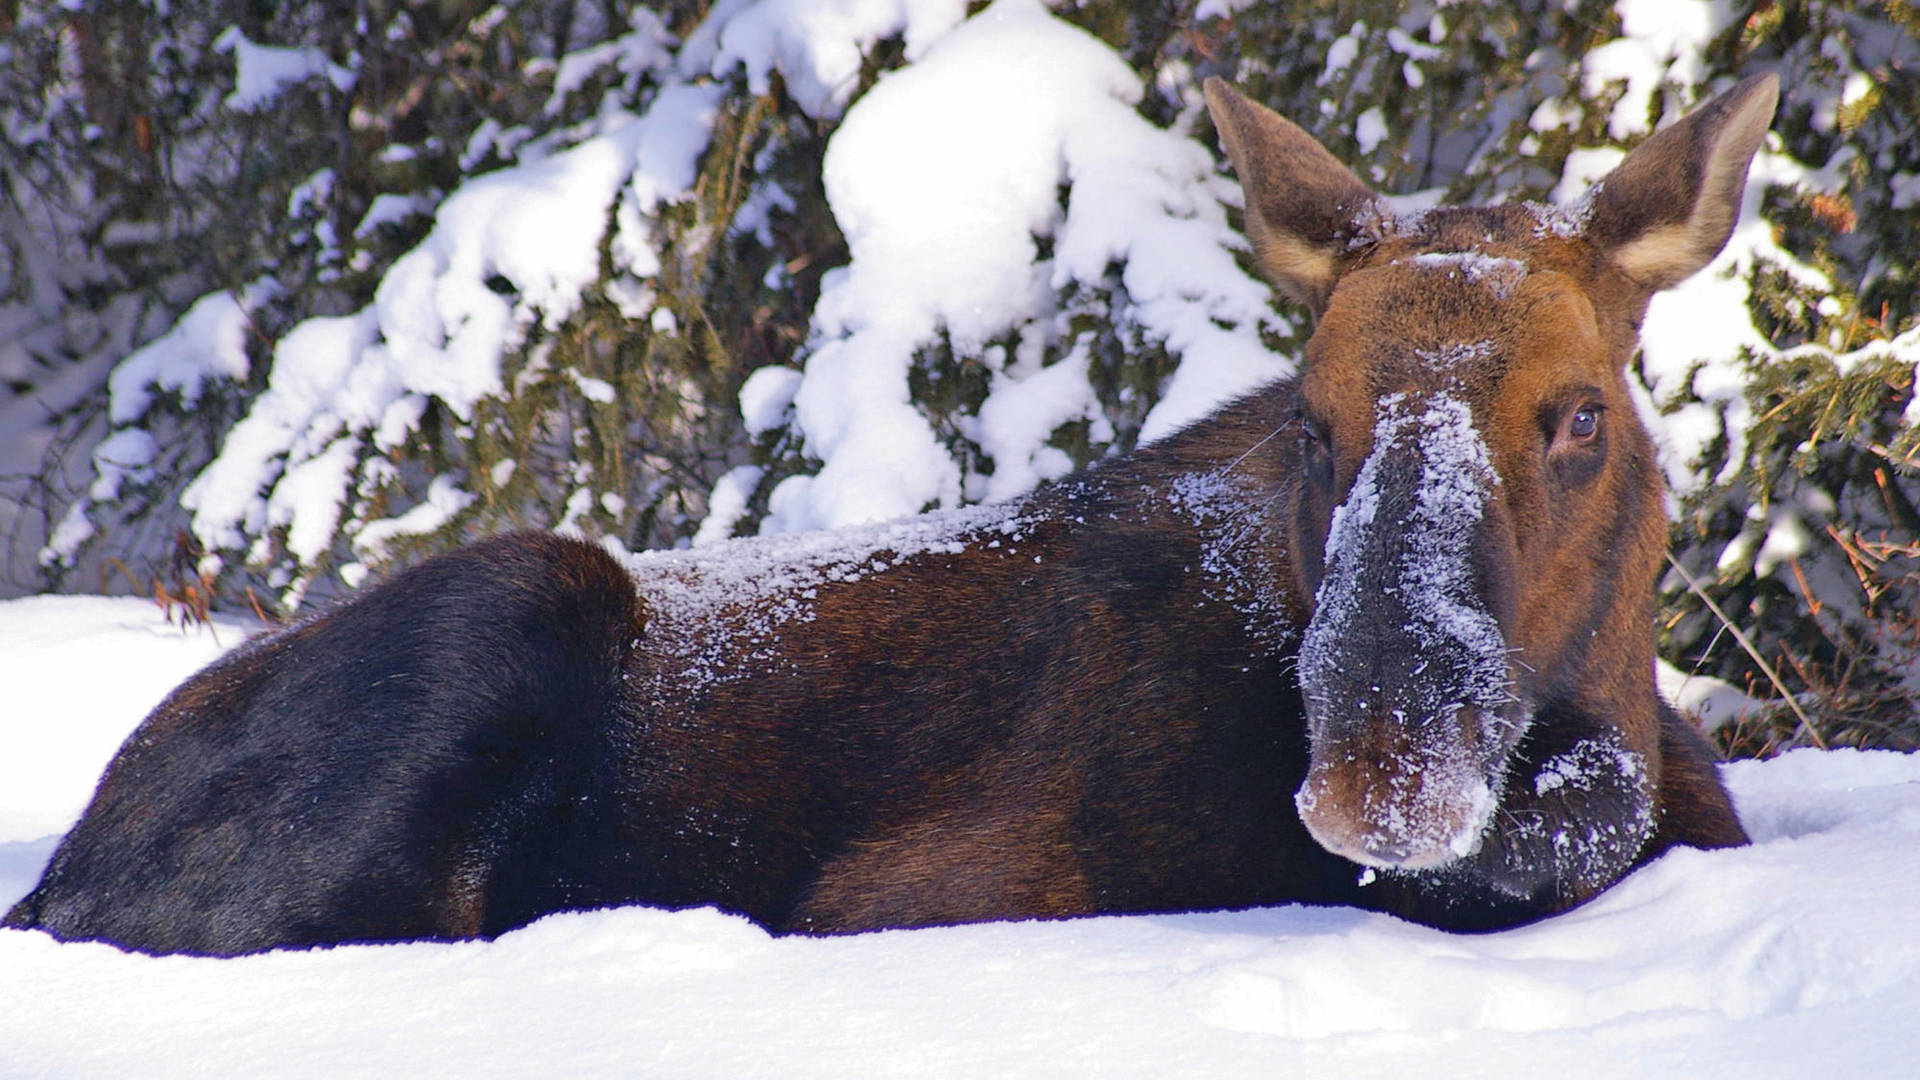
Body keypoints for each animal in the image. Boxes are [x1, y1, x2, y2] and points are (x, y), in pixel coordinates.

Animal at [3, 73, 1781, 949]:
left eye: (1578, 412)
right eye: (1311, 420)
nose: (1379, 770)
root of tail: (68, 860)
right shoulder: (923, 893)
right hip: (516, 602)